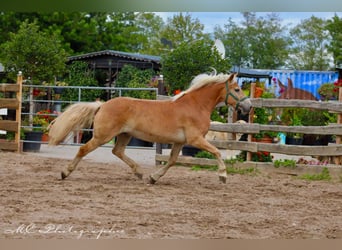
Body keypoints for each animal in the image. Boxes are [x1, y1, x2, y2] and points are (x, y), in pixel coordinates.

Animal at [48, 71, 251, 185]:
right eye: (237, 89)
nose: (248, 106)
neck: (195, 106)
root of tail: (102, 105)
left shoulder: (179, 142)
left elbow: (172, 161)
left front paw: (153, 178)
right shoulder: (195, 140)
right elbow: (217, 152)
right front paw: (223, 176)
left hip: (124, 135)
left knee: (117, 151)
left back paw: (139, 172)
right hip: (102, 136)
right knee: (84, 149)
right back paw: (65, 173)